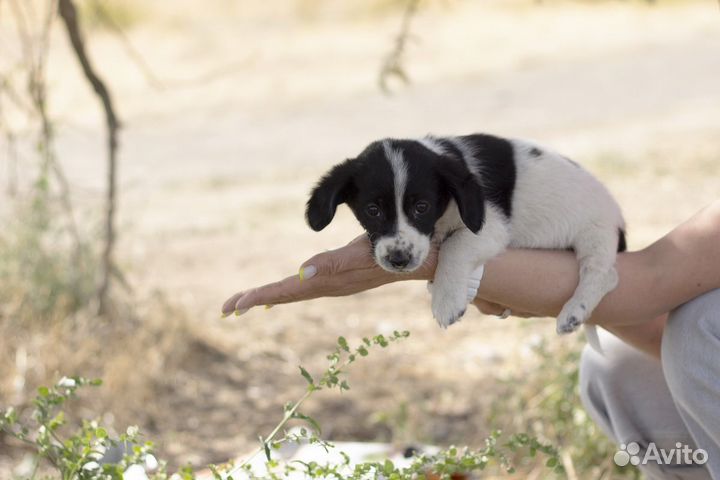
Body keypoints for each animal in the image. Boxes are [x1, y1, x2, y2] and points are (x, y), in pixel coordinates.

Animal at [306, 132, 624, 334]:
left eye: (422, 207)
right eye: (372, 210)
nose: (399, 260)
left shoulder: (490, 227)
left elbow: (455, 247)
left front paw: (446, 299)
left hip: (595, 233)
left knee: (604, 274)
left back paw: (573, 311)